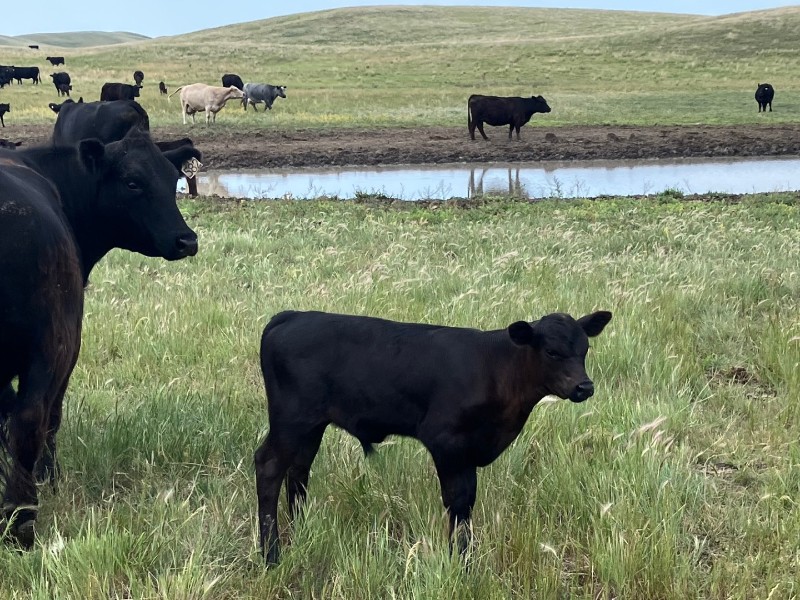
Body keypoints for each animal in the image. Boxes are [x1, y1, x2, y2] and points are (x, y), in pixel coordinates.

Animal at [0, 128, 200, 548]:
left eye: (172, 181)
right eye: (132, 182)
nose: (186, 241)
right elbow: (49, 418)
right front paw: (49, 478)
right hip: (53, 340)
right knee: (33, 419)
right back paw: (22, 520)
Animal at [255, 308, 612, 565]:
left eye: (585, 349)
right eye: (551, 351)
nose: (584, 386)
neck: (497, 370)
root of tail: (293, 315)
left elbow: (466, 502)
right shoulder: (447, 440)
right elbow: (458, 501)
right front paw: (461, 561)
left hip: (310, 425)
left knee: (299, 469)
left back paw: (300, 530)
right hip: (291, 419)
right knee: (269, 466)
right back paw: (271, 555)